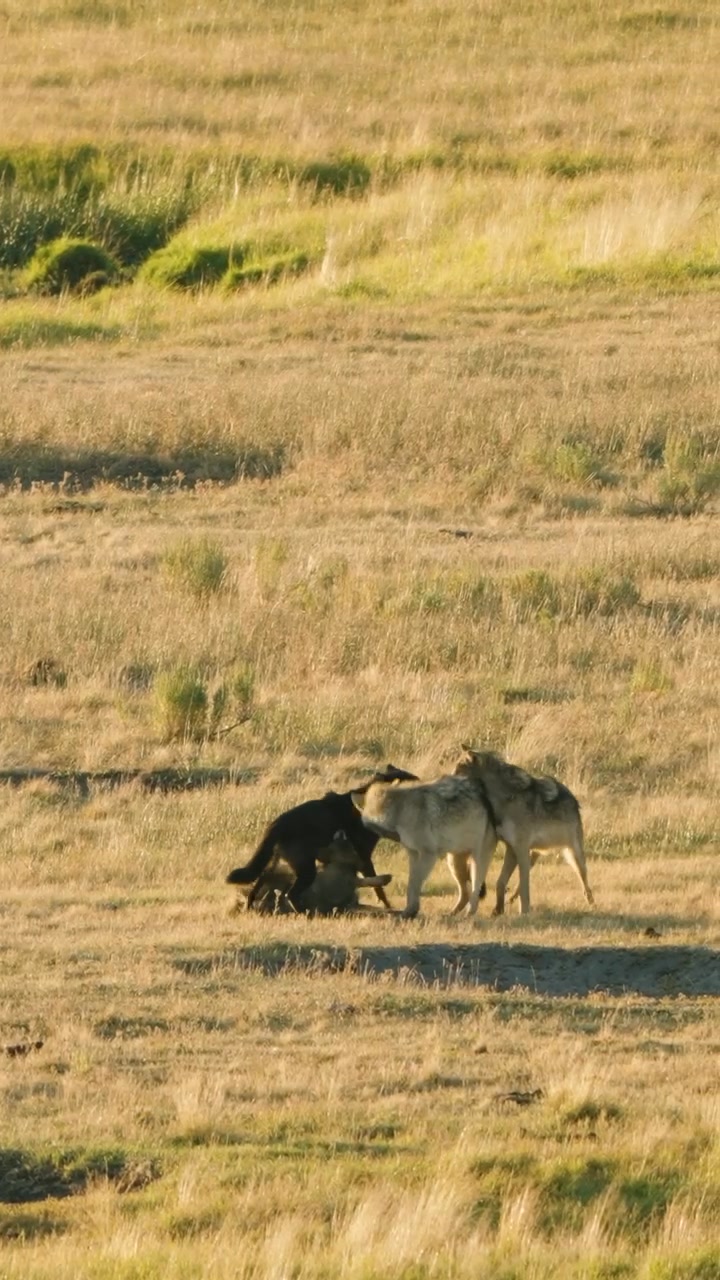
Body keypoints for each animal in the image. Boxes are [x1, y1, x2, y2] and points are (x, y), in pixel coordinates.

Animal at [225, 764, 417, 911]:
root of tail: (277, 824)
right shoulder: (364, 857)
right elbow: (377, 887)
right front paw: (388, 906)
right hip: (305, 868)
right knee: (290, 894)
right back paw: (306, 912)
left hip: (279, 861)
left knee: (262, 878)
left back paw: (250, 905)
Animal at [351, 774, 496, 918]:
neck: (399, 813)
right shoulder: (414, 854)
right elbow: (411, 885)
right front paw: (409, 910)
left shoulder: (428, 854)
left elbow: (415, 884)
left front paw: (411, 911)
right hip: (454, 863)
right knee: (465, 894)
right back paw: (451, 914)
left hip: (476, 862)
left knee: (475, 891)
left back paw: (468, 914)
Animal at [452, 746, 594, 915]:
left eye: (458, 770)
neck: (505, 800)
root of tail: (571, 796)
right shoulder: (512, 849)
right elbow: (501, 882)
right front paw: (498, 910)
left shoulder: (520, 849)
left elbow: (525, 889)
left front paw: (524, 913)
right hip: (534, 853)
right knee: (520, 882)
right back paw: (511, 898)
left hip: (574, 856)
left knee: (585, 881)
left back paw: (591, 902)